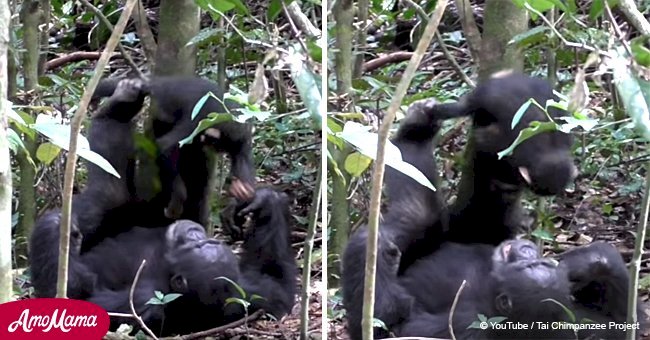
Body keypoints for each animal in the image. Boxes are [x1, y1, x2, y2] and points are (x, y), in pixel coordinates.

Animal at [93, 76, 256, 223]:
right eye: (213, 141)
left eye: (217, 144)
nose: (207, 143)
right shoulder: (196, 122)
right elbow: (166, 146)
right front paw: (178, 198)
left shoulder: (242, 137)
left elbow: (242, 162)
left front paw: (240, 191)